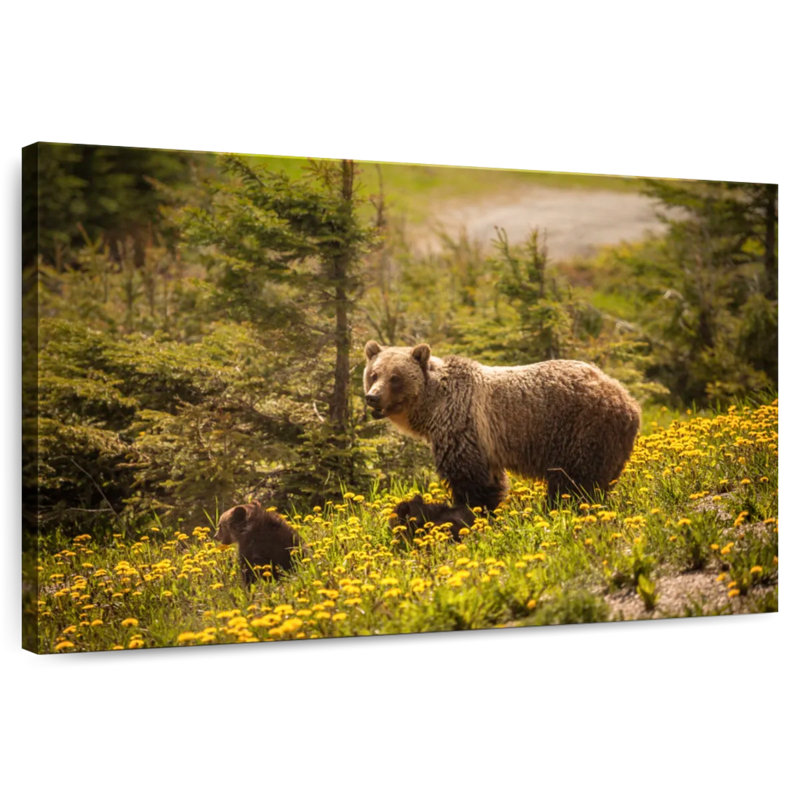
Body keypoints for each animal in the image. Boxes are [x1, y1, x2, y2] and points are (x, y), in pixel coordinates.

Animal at [364, 341, 640, 509]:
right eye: (373, 374)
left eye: (395, 377)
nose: (372, 397)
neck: (432, 407)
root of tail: (628, 400)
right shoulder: (484, 444)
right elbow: (492, 480)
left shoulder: (462, 427)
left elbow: (469, 478)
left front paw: (471, 510)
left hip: (583, 429)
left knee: (576, 480)